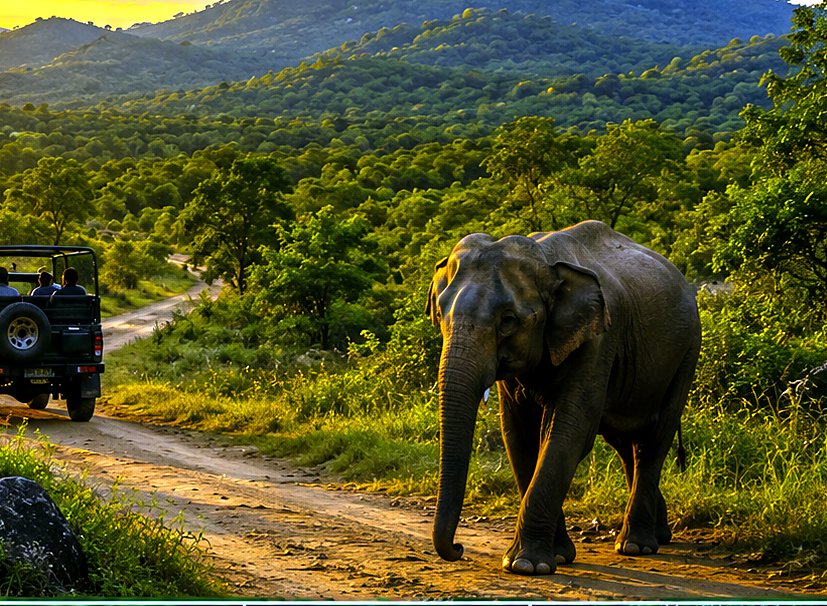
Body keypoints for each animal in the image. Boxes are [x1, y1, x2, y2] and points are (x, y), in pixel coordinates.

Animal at [426, 220, 701, 576]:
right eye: (440, 314)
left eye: (508, 321)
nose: (458, 548)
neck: (544, 259)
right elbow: (519, 436)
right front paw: (556, 556)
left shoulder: (599, 339)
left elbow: (568, 430)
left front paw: (527, 565)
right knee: (627, 445)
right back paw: (660, 534)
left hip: (687, 353)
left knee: (653, 441)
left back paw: (636, 545)